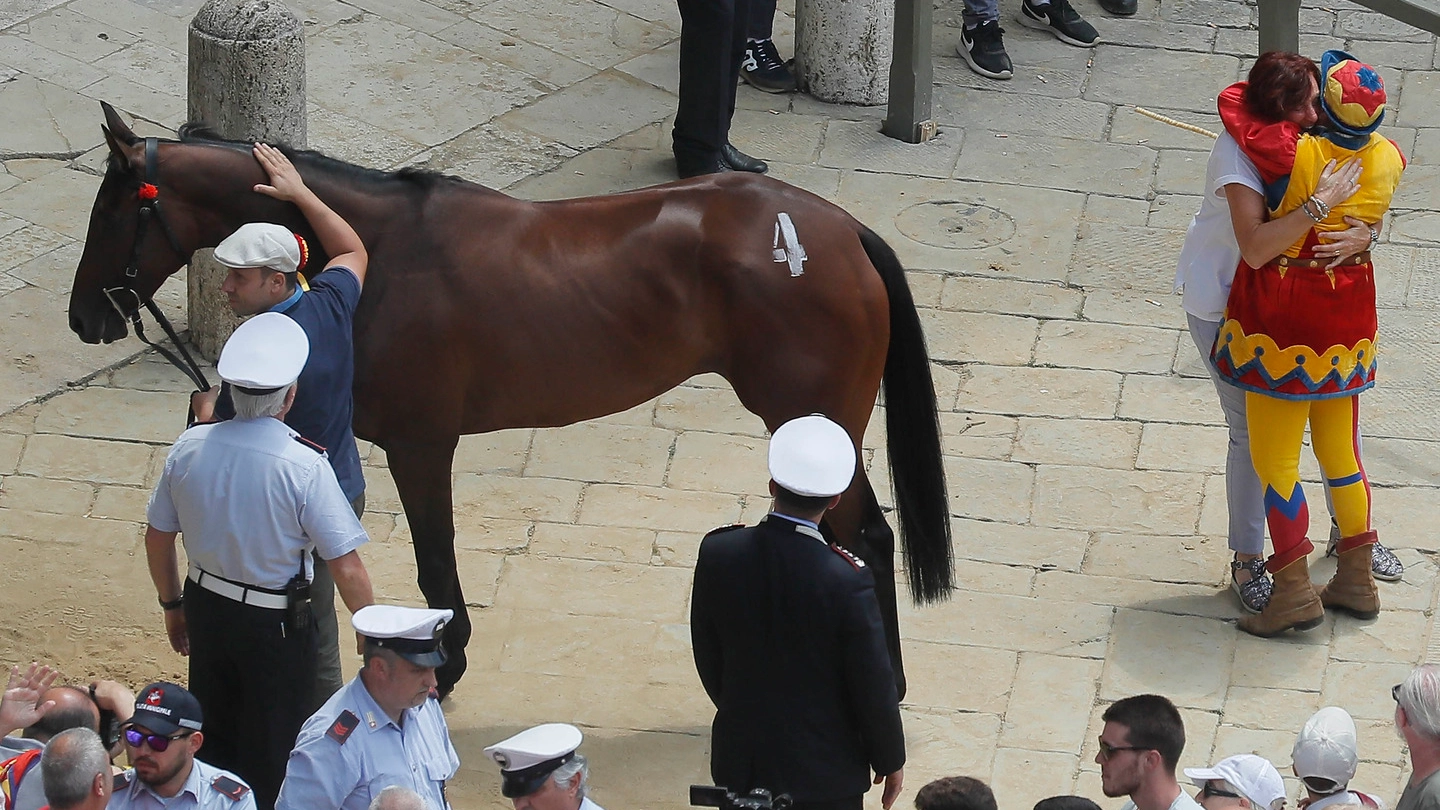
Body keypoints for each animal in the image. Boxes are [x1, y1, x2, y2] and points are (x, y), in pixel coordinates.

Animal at [67, 100, 950, 694]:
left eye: (109, 208)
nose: (84, 317)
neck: (383, 249)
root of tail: (839, 229)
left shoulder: (420, 446)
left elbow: (435, 562)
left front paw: (442, 663)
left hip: (812, 417)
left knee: (867, 535)